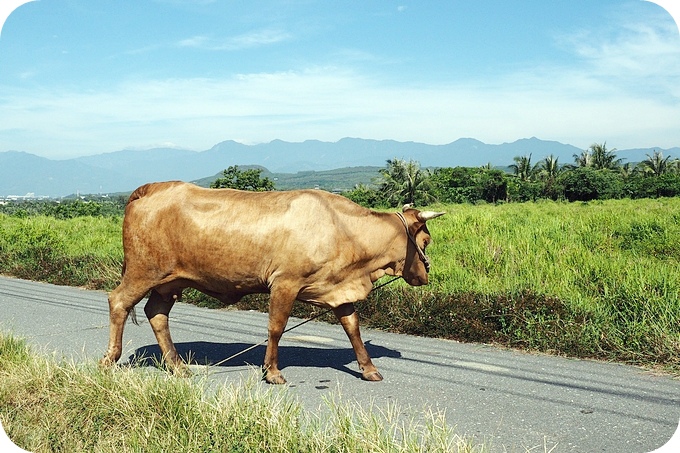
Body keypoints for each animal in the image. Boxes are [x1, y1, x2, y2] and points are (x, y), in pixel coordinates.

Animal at [98, 180, 444, 382]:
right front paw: (273, 372)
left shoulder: (338, 290)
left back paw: (177, 366)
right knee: (119, 302)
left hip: (169, 282)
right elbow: (275, 328)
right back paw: (109, 360)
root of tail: (150, 188)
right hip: (143, 271)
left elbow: (353, 328)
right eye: (425, 241)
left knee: (156, 313)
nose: (425, 276)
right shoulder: (285, 284)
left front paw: (369, 369)